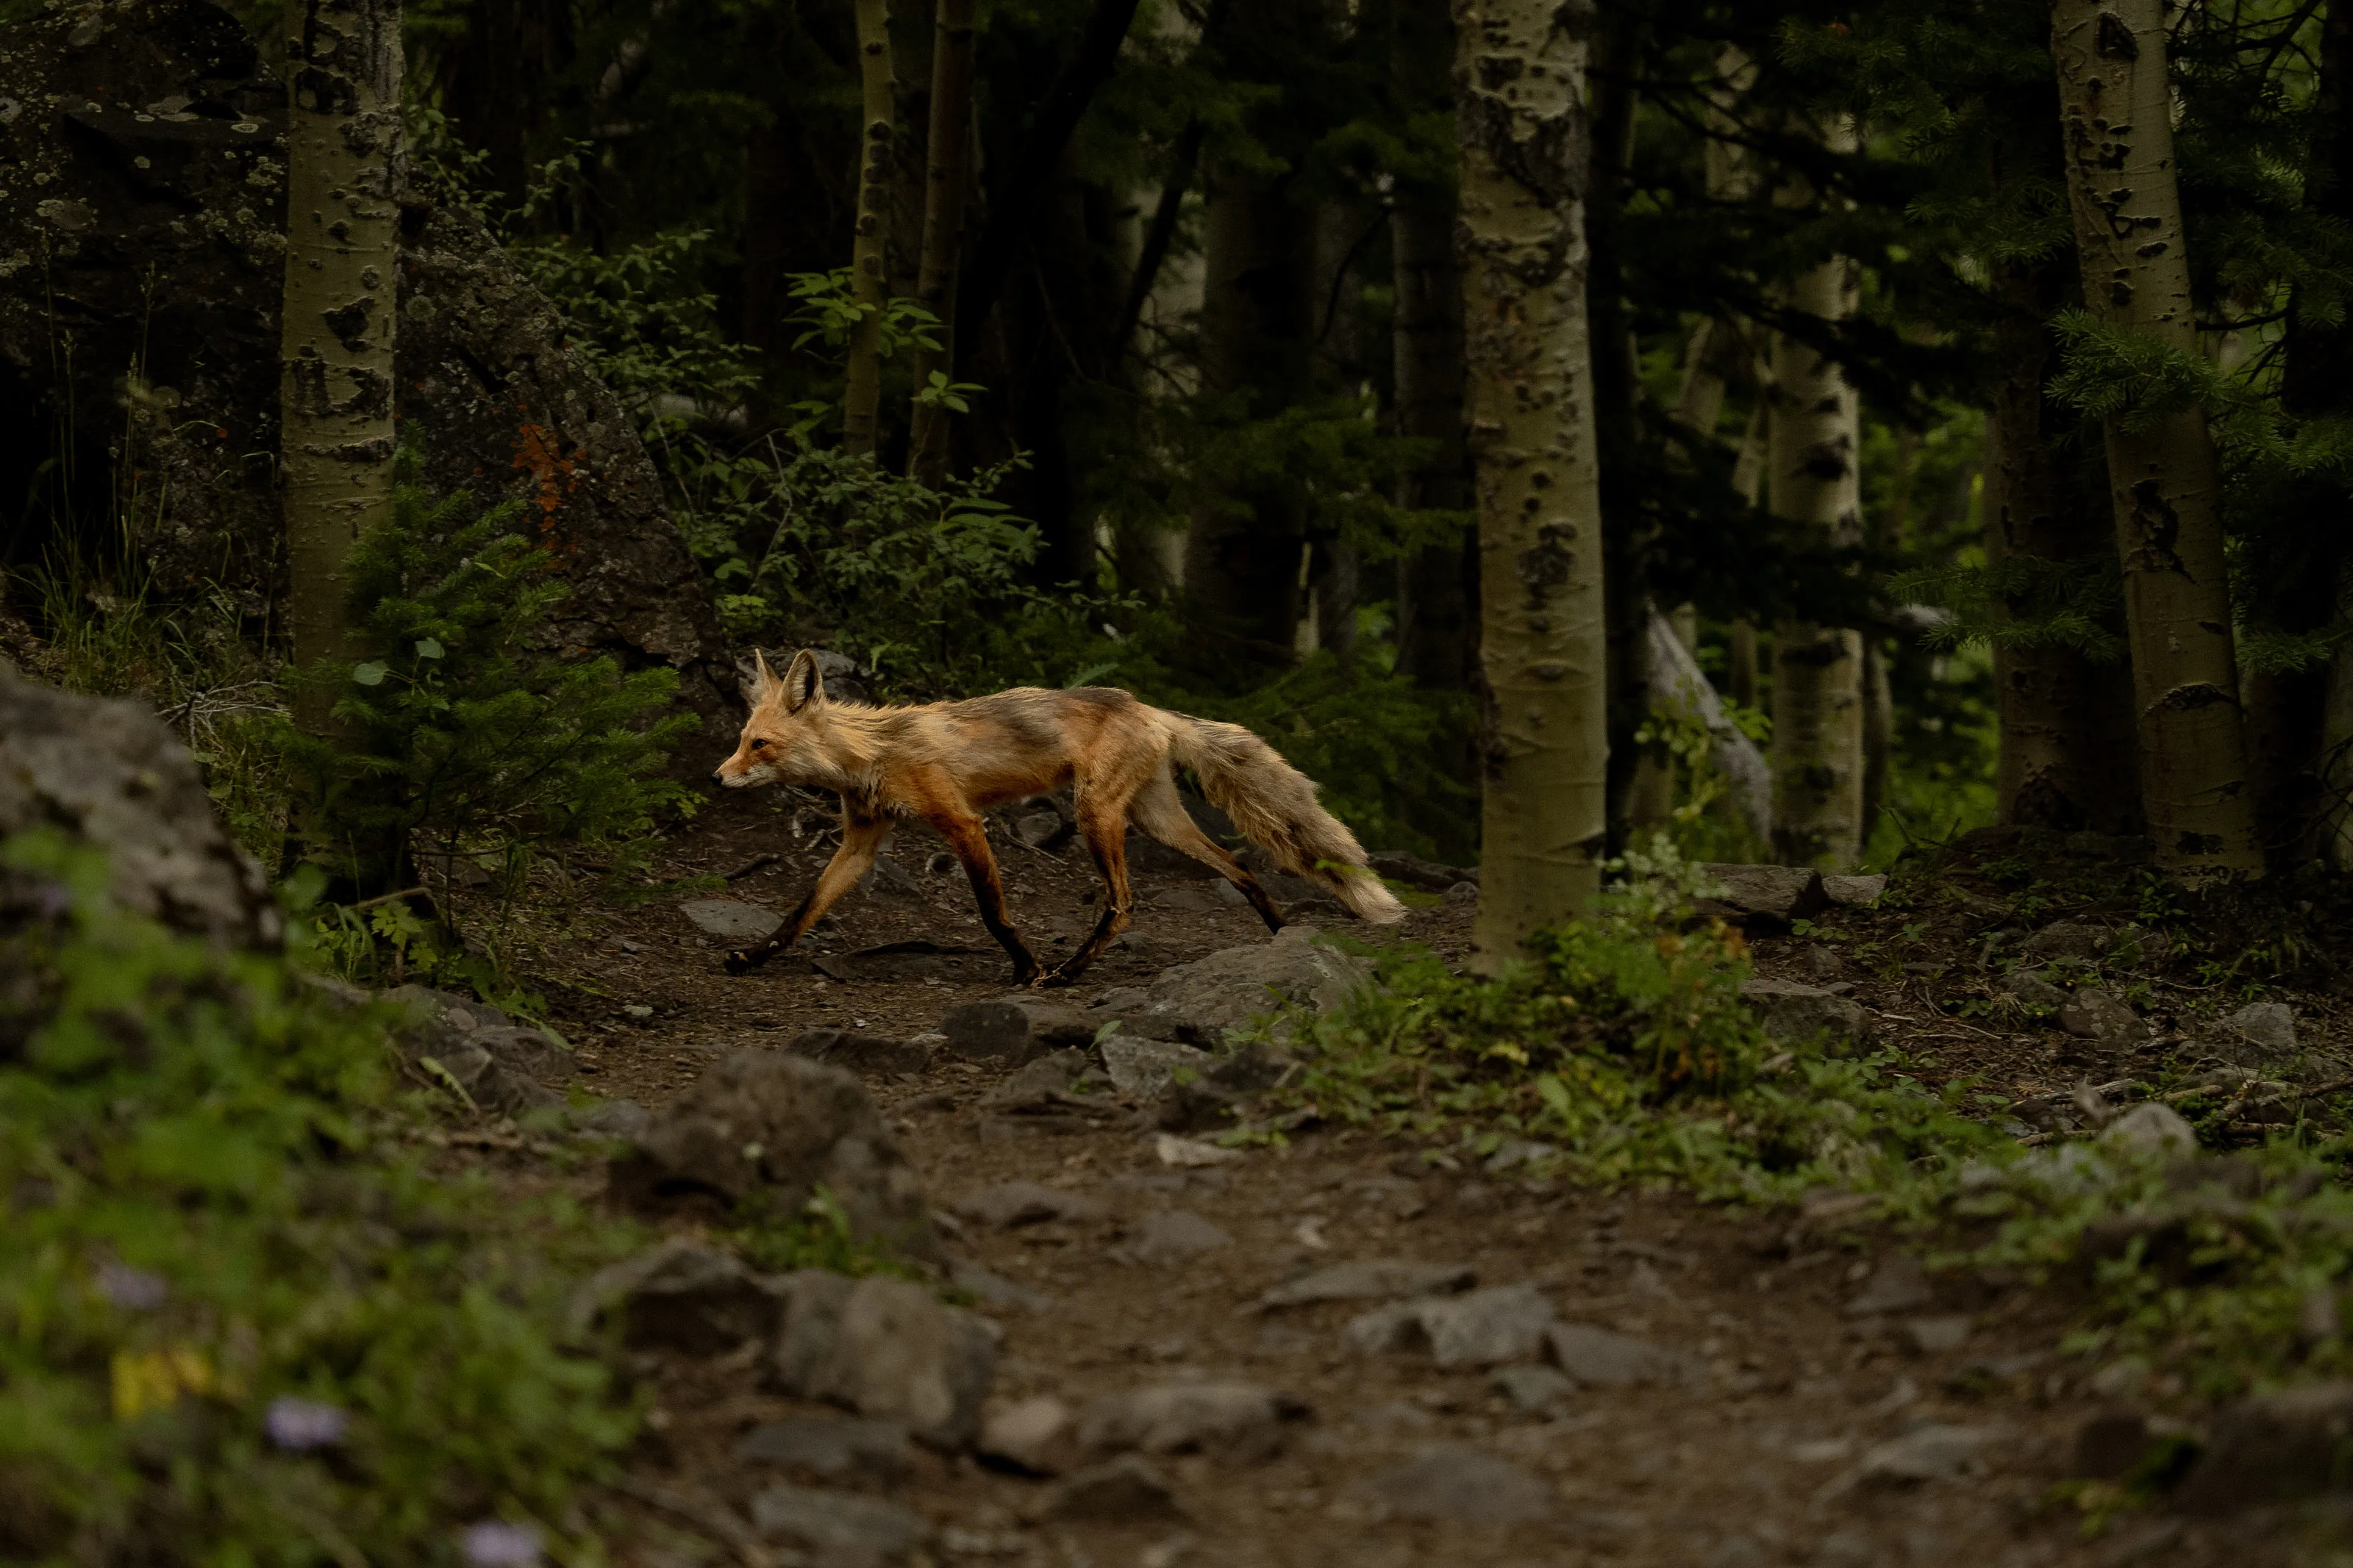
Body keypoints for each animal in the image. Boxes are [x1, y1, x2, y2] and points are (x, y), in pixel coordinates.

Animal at [709, 649, 1405, 986]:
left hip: (1095, 814)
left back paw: (1068, 973)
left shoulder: (963, 823)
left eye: (760, 745)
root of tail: (1146, 705)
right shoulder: (860, 840)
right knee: (1240, 867)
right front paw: (751, 958)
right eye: (741, 739)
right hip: (1156, 819)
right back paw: (1283, 935)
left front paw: (1028, 968)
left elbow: (995, 913)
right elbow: (801, 911)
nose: (717, 776)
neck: (874, 751)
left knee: (1124, 904)